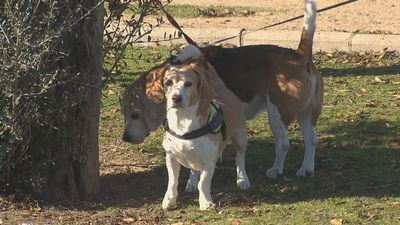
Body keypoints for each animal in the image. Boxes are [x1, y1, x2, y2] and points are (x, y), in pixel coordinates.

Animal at [120, 0, 324, 179]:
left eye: (135, 115)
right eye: (124, 114)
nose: (126, 138)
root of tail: (299, 56)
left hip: (276, 113)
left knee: (283, 144)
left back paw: (276, 170)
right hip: (306, 113)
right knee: (311, 139)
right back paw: (306, 169)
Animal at [145, 51, 248, 210]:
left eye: (188, 84)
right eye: (168, 82)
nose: (176, 97)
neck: (183, 122)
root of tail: (221, 86)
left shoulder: (208, 162)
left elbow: (204, 183)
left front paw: (205, 201)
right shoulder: (171, 158)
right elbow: (172, 182)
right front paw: (169, 199)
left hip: (240, 136)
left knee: (240, 157)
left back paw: (242, 179)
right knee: (194, 168)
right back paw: (192, 181)